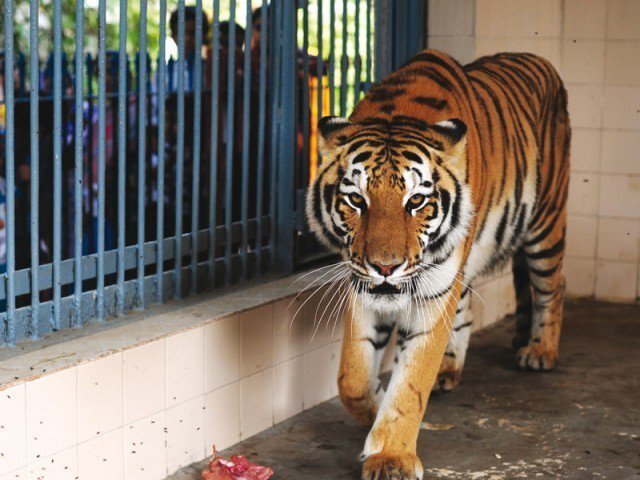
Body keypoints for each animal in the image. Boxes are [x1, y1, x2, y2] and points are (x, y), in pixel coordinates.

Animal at [304, 49, 568, 480]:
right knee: (466, 313)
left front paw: (391, 457)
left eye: (416, 201)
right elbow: (352, 378)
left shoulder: (432, 295)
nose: (386, 267)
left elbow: (411, 383)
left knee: (553, 287)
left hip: (546, 223)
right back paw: (449, 370)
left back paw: (540, 351)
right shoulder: (363, 285)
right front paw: (376, 405)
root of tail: (540, 59)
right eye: (357, 200)